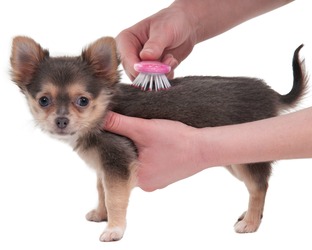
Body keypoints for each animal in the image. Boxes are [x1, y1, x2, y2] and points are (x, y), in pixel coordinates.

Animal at [9, 36, 308, 241]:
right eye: (43, 100)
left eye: (82, 101)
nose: (61, 121)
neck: (103, 111)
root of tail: (271, 94)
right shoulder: (105, 167)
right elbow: (102, 191)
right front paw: (101, 214)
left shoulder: (119, 162)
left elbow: (115, 197)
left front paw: (114, 229)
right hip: (234, 156)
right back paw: (250, 215)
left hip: (245, 159)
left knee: (259, 187)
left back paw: (251, 223)